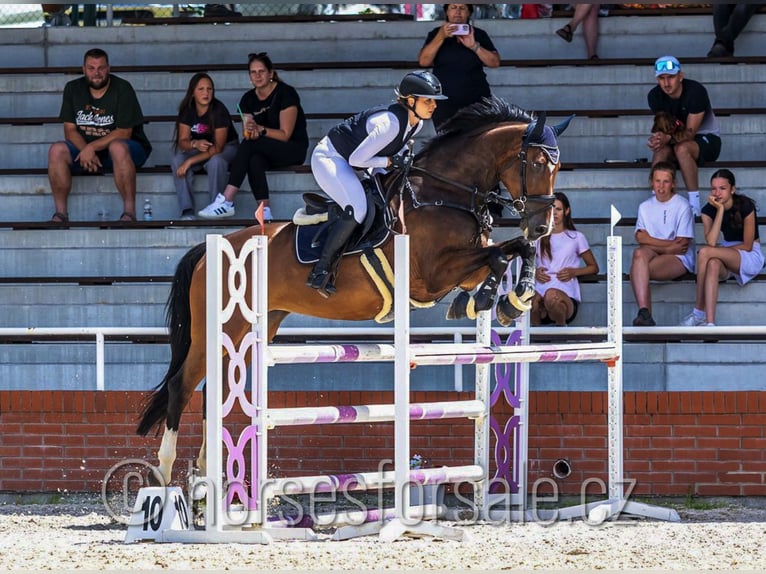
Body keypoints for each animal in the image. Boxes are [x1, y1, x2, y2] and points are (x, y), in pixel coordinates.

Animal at [136, 97, 572, 485]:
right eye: (536, 163)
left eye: (558, 166)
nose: (541, 226)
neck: (442, 193)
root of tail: (213, 249)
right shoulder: (432, 275)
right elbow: (499, 255)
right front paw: (493, 300)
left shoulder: (458, 270)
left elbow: (514, 251)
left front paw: (509, 298)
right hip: (221, 329)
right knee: (181, 385)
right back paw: (164, 472)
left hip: (249, 327)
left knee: (216, 388)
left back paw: (206, 476)